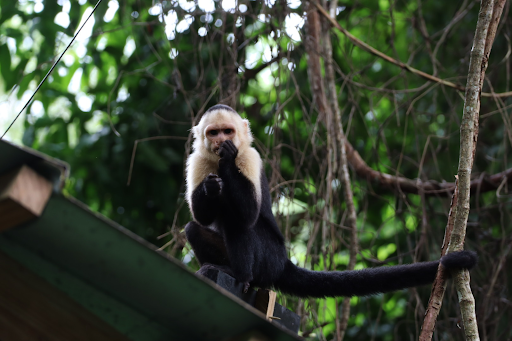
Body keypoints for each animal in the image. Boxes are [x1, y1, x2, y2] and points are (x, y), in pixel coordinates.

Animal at [183, 105, 476, 296]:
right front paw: (211, 187)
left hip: (269, 259)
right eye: (213, 133)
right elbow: (201, 216)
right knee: (192, 228)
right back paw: (222, 268)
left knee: (238, 222)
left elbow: (248, 212)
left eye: (228, 131)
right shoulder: (197, 160)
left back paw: (241, 277)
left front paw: (227, 160)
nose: (221, 142)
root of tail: (283, 262)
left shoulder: (249, 156)